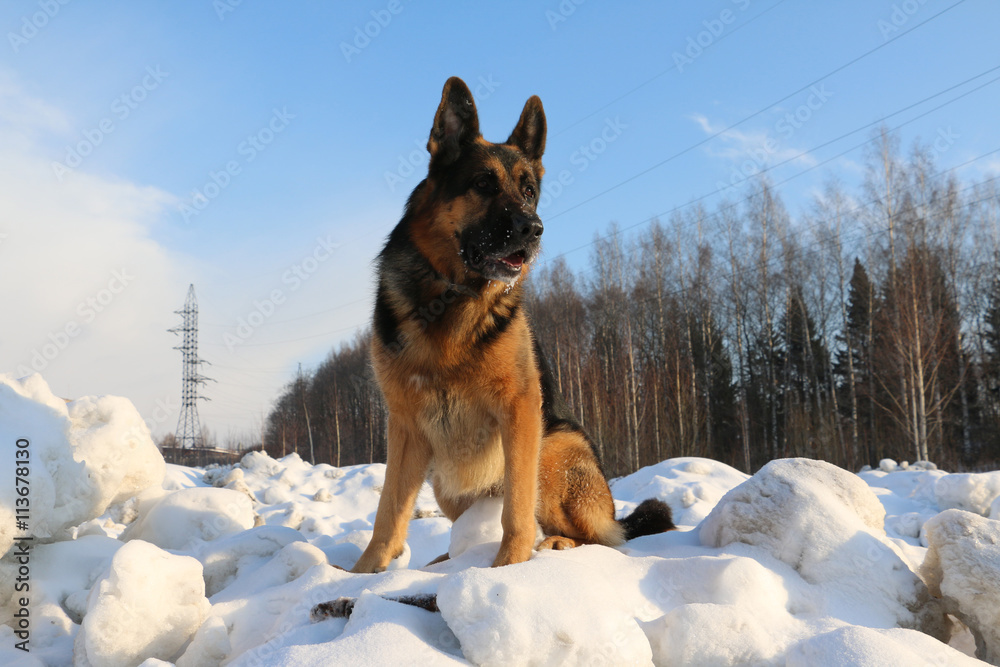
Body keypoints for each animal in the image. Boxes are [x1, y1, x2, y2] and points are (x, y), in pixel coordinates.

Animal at [352, 75, 672, 572]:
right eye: (483, 183)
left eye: (528, 191)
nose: (534, 229)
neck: (455, 294)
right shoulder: (405, 427)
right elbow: (388, 513)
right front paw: (362, 574)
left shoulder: (520, 409)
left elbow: (517, 508)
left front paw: (509, 567)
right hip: (447, 480)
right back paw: (444, 561)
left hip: (552, 447)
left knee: (599, 537)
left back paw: (557, 544)